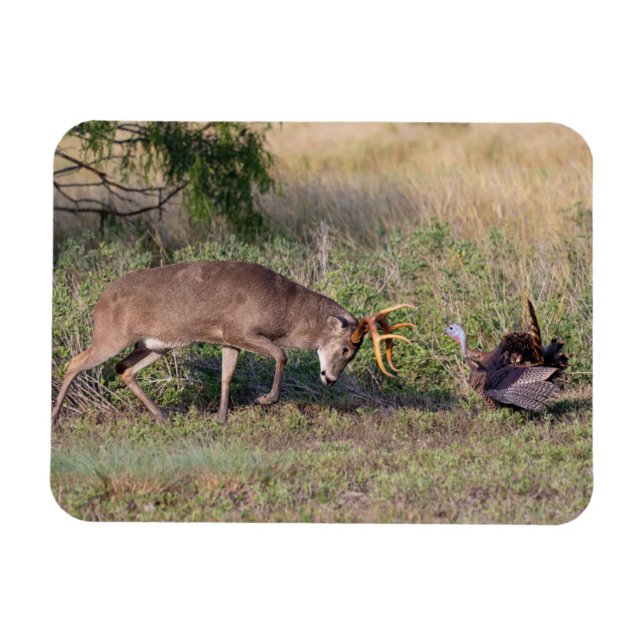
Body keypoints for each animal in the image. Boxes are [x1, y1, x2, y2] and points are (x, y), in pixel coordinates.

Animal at [51, 260, 416, 425]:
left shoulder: (229, 339)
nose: (330, 379)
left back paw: (163, 416)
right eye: (345, 349)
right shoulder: (241, 330)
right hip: (111, 335)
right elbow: (281, 355)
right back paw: (54, 417)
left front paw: (223, 417)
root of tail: (99, 303)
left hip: (155, 345)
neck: (284, 309)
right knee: (75, 362)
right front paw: (264, 400)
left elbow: (227, 375)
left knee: (123, 369)